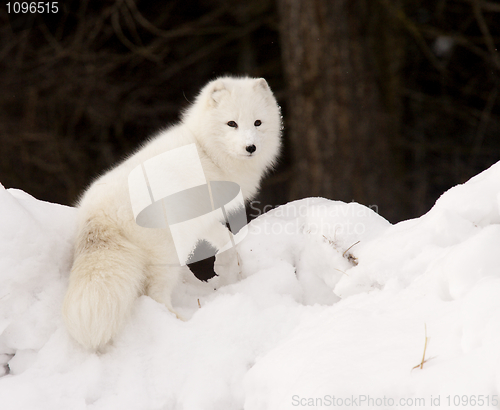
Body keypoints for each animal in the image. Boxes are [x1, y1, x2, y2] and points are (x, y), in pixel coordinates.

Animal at [61, 76, 284, 350]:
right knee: (154, 294)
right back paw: (180, 323)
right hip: (168, 252)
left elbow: (225, 238)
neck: (207, 151)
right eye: (232, 123)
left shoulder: (205, 218)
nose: (250, 147)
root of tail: (97, 215)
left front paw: (230, 263)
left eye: (257, 122)